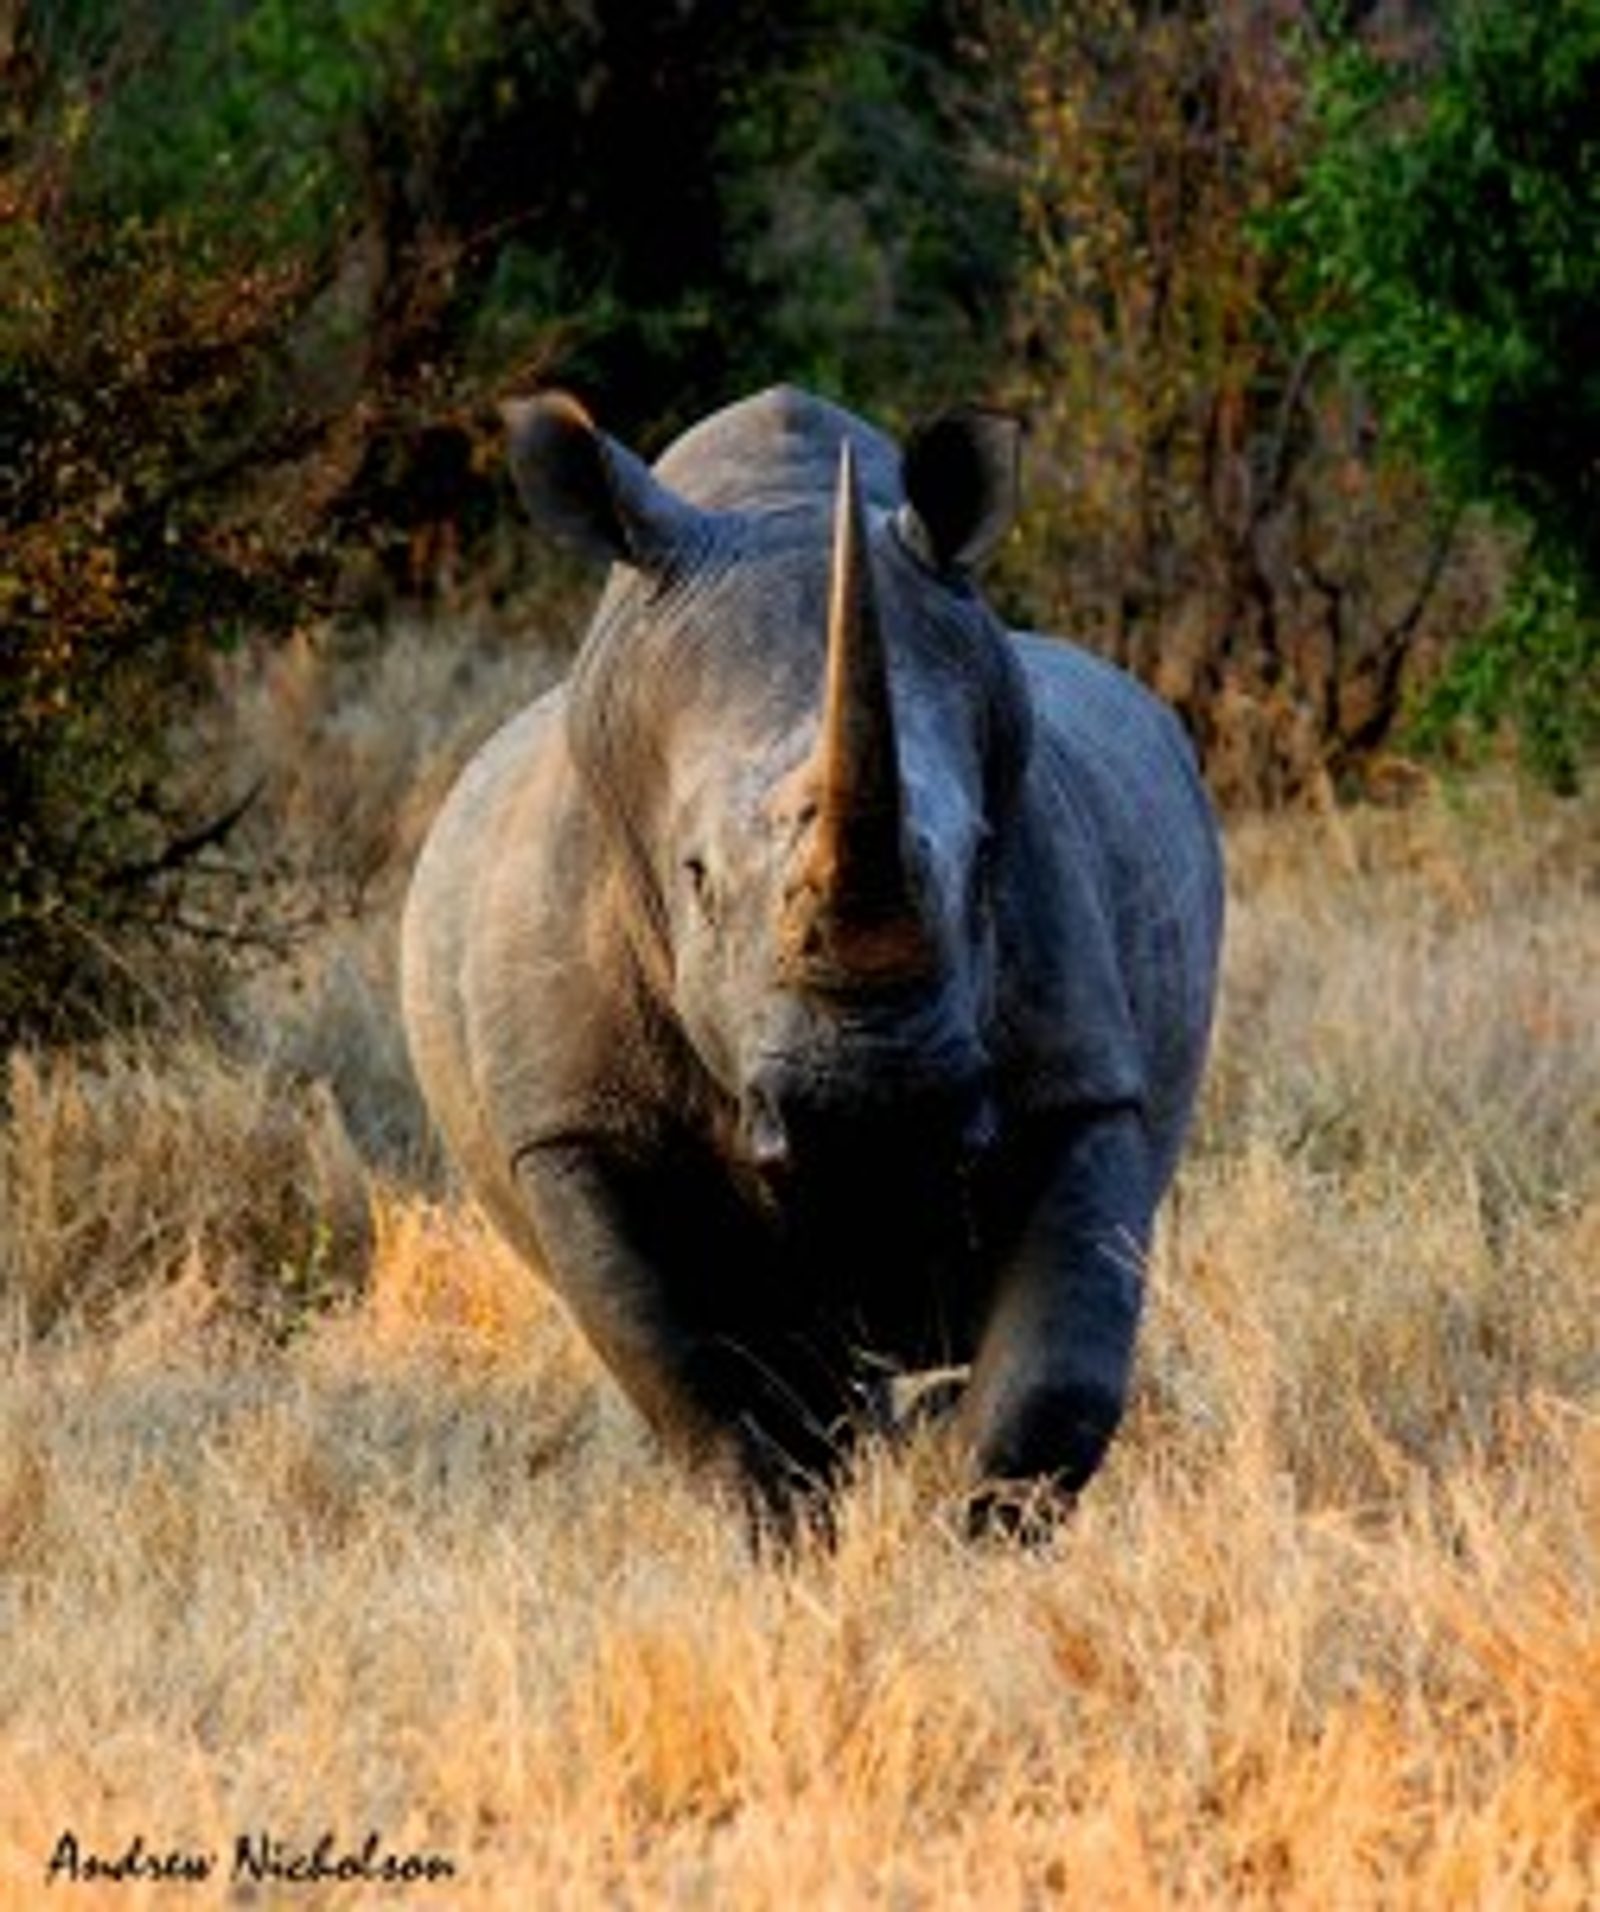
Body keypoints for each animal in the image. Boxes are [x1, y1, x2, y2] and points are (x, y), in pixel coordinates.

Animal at [401, 386, 1223, 1537]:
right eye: (695, 877)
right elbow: (708, 1383)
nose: (874, 1113)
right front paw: (794, 1545)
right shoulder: (570, 1125)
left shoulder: (1083, 1081)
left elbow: (1054, 1376)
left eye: (982, 858)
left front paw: (974, 1550)